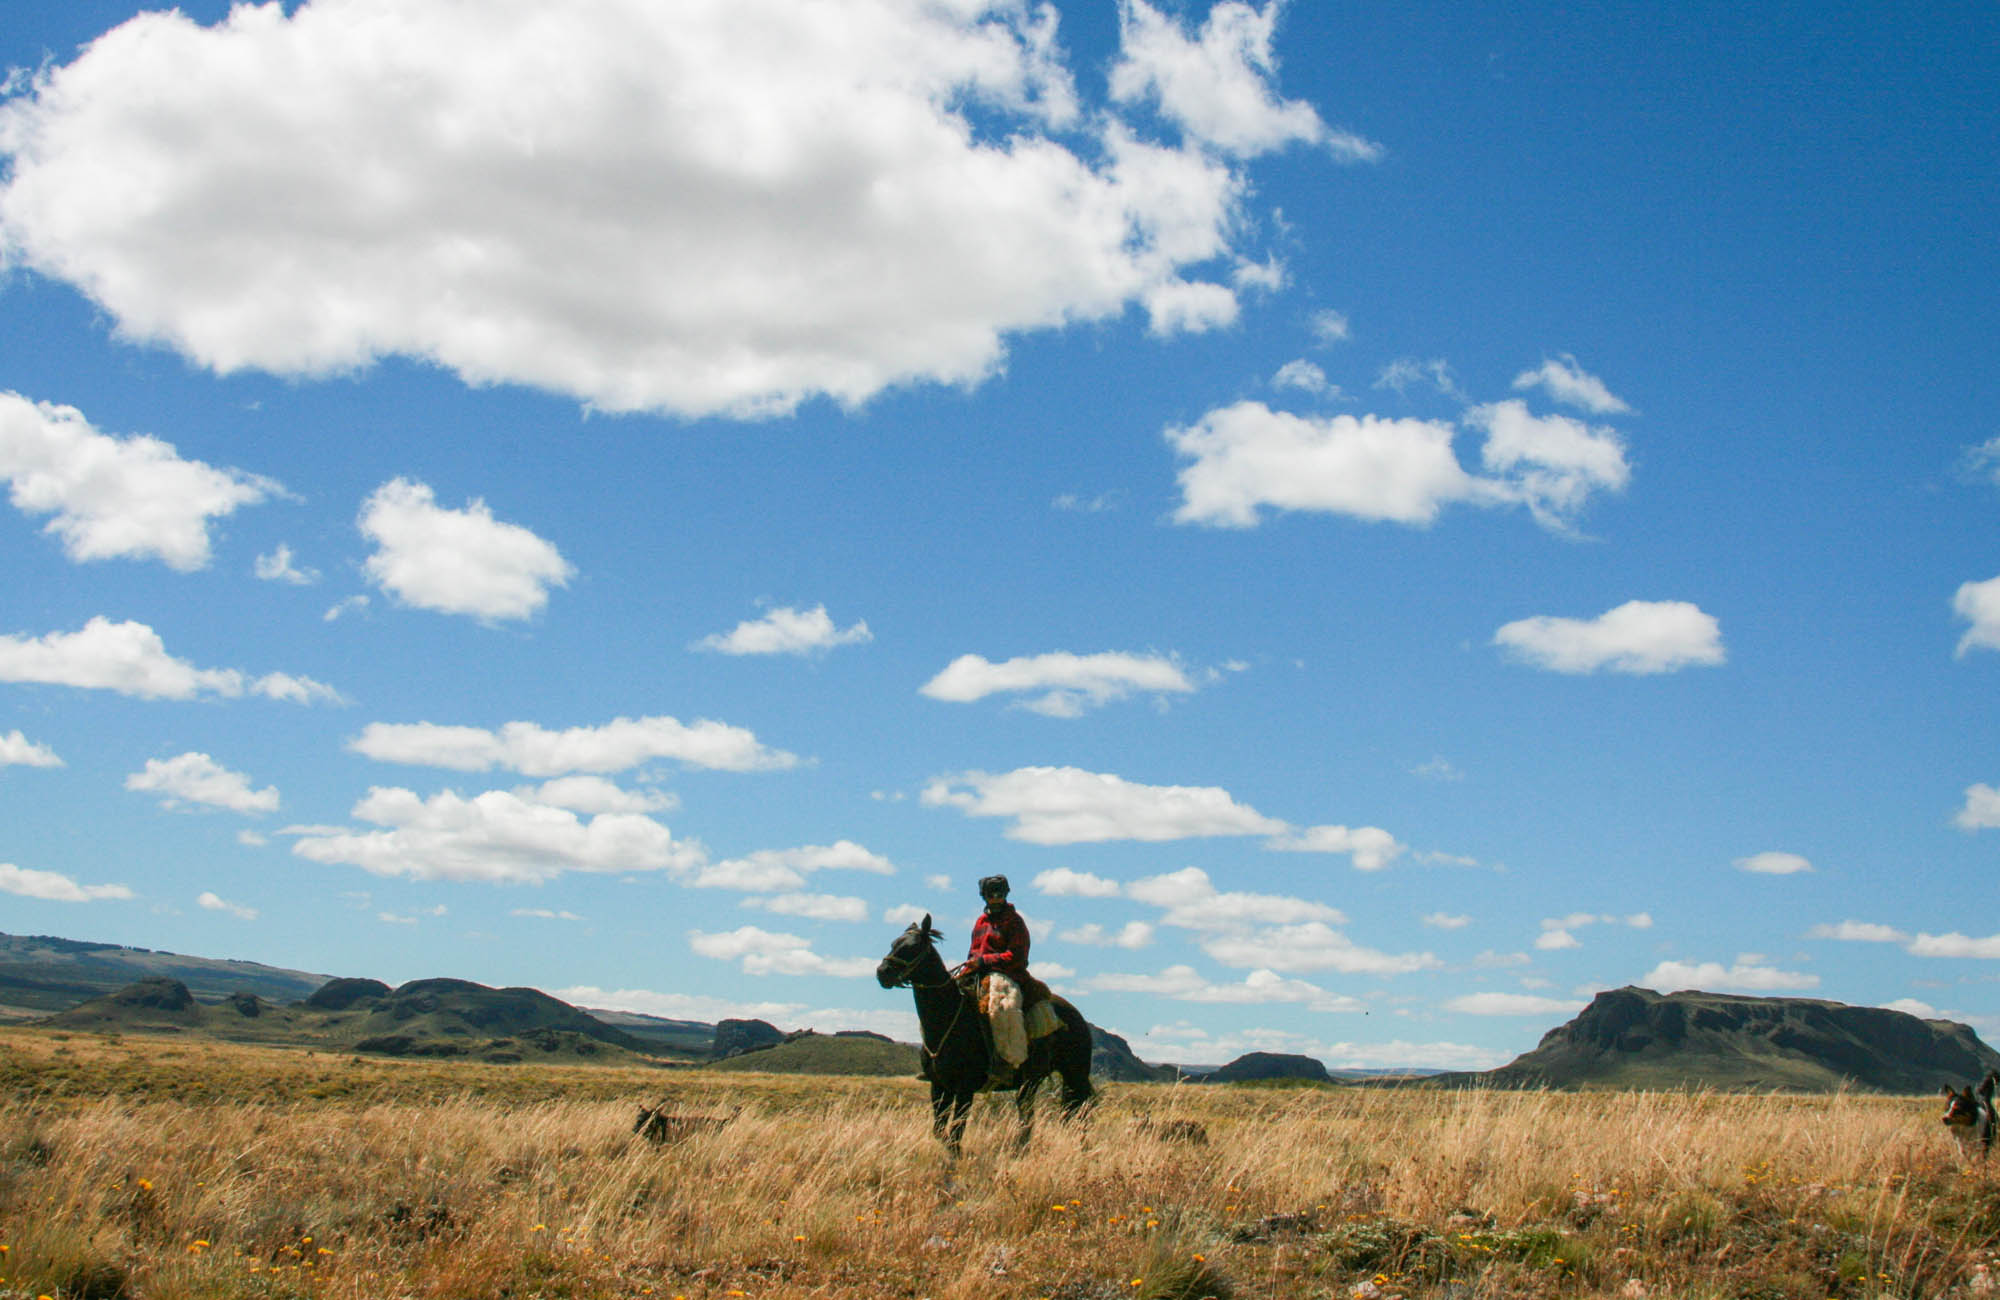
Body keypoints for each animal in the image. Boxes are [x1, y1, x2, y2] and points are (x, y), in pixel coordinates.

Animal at [876, 908, 1096, 1152]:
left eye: (912, 947)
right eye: (894, 943)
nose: (882, 973)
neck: (949, 1019)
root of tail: (1078, 1018)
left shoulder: (964, 1089)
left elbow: (955, 1133)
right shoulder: (939, 1086)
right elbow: (940, 1132)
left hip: (1075, 1074)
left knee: (1081, 1112)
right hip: (1031, 1082)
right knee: (1029, 1116)